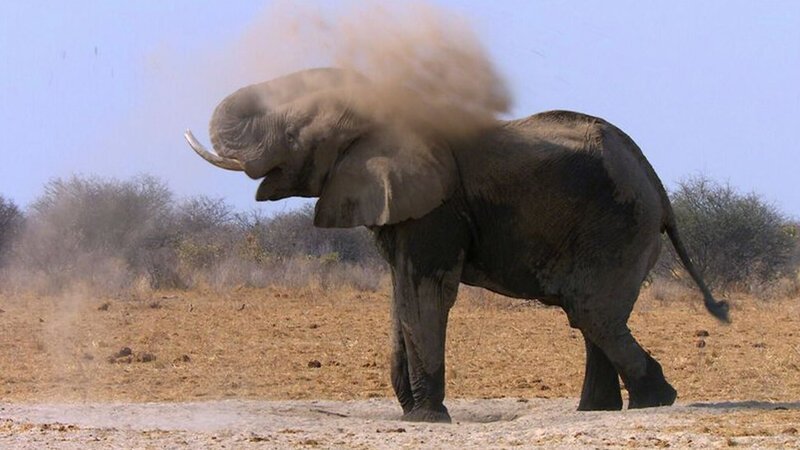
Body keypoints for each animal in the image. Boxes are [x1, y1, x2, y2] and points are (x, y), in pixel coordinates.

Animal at [184, 68, 729, 423]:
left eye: (296, 133)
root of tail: (658, 186)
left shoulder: (438, 206)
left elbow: (425, 290)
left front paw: (426, 418)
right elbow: (399, 292)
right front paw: (411, 414)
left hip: (620, 224)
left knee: (591, 311)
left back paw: (655, 401)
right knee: (595, 315)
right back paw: (597, 410)